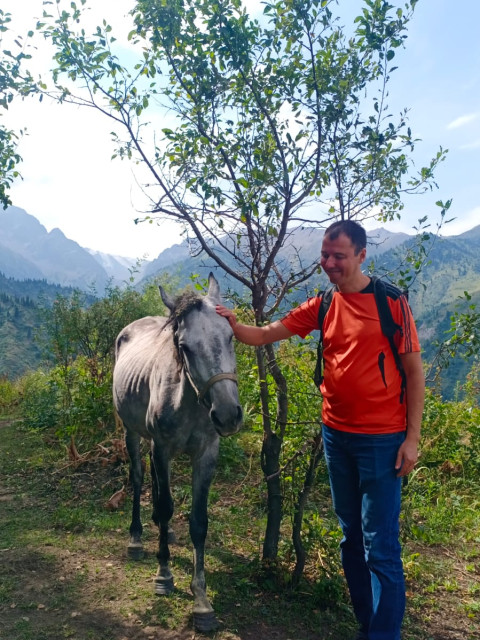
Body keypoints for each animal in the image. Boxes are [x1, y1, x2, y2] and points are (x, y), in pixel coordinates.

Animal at [113, 274, 244, 632]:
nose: (227, 415)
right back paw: (137, 538)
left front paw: (201, 601)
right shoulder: (161, 447)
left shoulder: (207, 454)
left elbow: (198, 520)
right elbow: (166, 504)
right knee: (139, 478)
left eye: (231, 337)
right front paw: (164, 575)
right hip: (132, 433)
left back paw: (165, 531)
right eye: (184, 347)